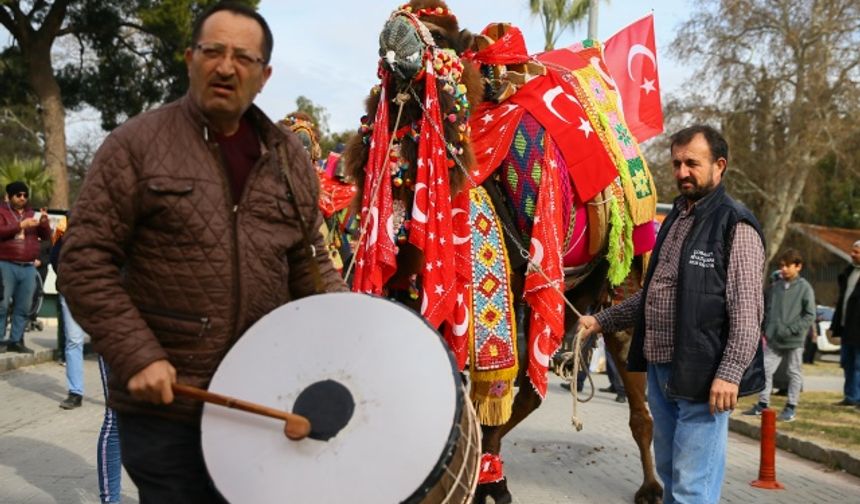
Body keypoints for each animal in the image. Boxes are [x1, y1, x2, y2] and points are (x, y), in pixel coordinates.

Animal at [344, 1, 664, 502]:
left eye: (440, 35)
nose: (394, 28)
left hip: (615, 283)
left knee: (631, 394)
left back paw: (647, 486)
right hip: (571, 293)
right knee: (533, 390)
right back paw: (493, 475)